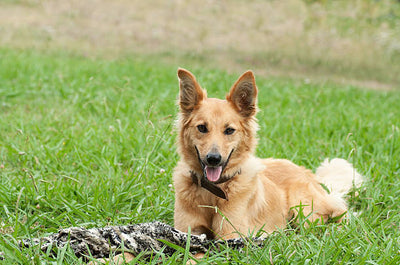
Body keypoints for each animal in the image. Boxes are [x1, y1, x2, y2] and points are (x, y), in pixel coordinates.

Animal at [173, 67, 362, 239]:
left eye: (229, 130)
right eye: (202, 128)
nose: (213, 159)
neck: (212, 193)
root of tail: (307, 173)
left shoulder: (229, 237)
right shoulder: (187, 232)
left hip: (303, 208)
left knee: (341, 214)